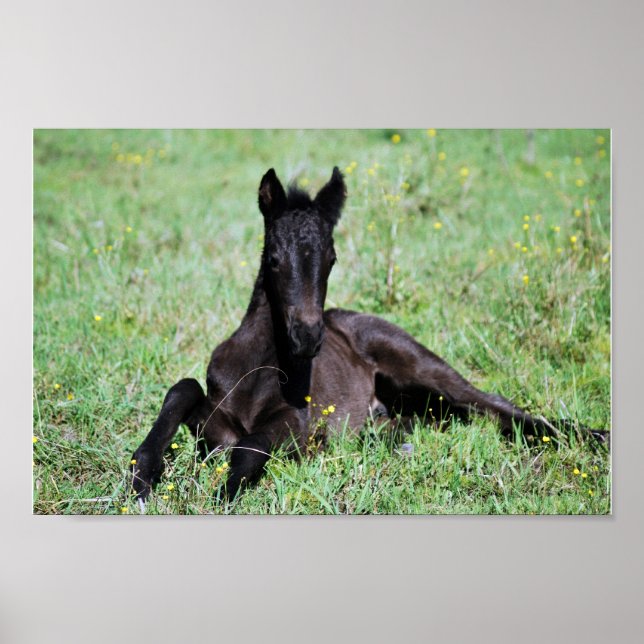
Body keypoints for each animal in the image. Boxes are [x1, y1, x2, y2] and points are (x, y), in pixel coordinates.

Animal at [130, 166, 608, 504]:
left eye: (332, 258)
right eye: (274, 258)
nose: (308, 338)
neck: (258, 367)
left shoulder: (298, 427)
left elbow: (249, 446)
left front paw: (223, 494)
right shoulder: (213, 422)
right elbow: (184, 388)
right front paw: (143, 478)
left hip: (418, 363)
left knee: (494, 406)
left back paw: (593, 436)